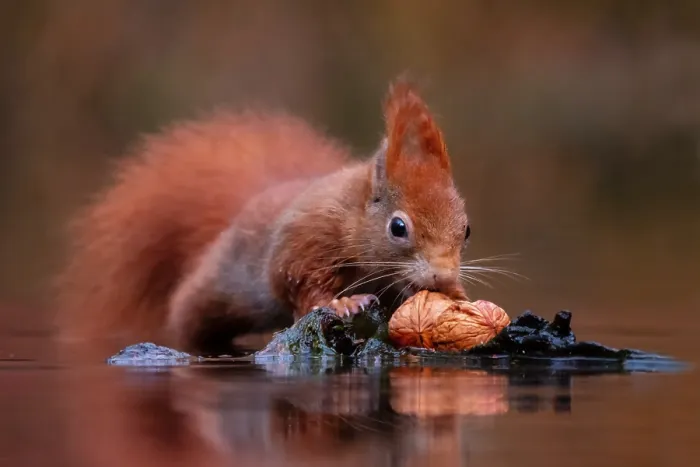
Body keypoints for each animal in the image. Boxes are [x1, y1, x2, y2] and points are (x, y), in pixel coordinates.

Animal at [55, 79, 471, 355]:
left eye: (466, 230)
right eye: (398, 227)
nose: (443, 276)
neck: (351, 215)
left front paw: (456, 294)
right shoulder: (305, 240)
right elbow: (298, 281)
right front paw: (341, 304)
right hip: (215, 290)